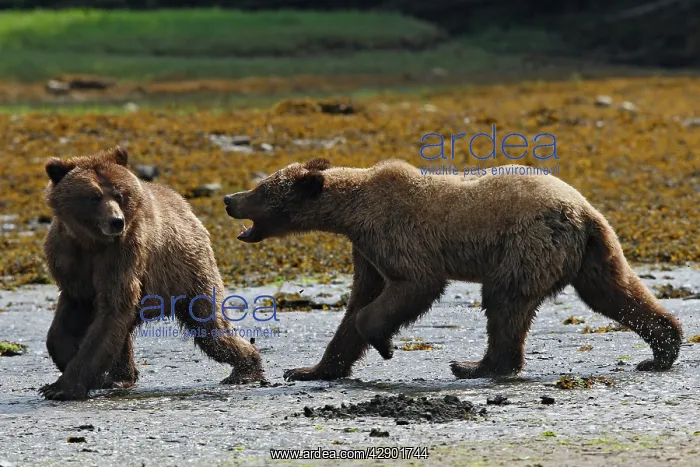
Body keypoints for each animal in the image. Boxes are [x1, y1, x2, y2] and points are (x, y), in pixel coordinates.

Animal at [39, 146, 264, 400]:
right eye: (94, 196)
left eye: (119, 194)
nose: (116, 221)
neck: (91, 242)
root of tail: (185, 206)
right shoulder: (69, 260)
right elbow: (68, 321)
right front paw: (70, 365)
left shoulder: (123, 255)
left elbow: (112, 310)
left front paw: (62, 387)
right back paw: (119, 377)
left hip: (188, 272)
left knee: (211, 329)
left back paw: (246, 368)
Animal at [223, 158, 683, 381]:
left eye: (261, 189)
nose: (229, 198)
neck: (351, 211)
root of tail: (584, 210)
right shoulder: (365, 250)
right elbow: (357, 303)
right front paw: (308, 370)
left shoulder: (395, 233)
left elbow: (413, 285)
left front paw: (384, 343)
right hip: (591, 252)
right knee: (615, 292)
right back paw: (663, 348)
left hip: (528, 243)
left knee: (504, 301)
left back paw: (477, 365)